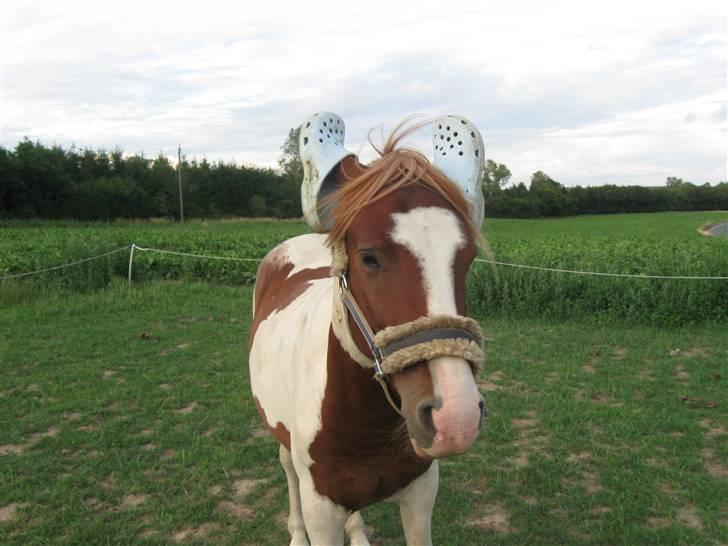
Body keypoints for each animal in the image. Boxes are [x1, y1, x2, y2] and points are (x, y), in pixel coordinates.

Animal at [249, 126, 484, 540]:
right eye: (369, 258)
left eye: (468, 257)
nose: (455, 418)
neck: (365, 426)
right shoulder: (320, 512)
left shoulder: (421, 493)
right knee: (286, 465)